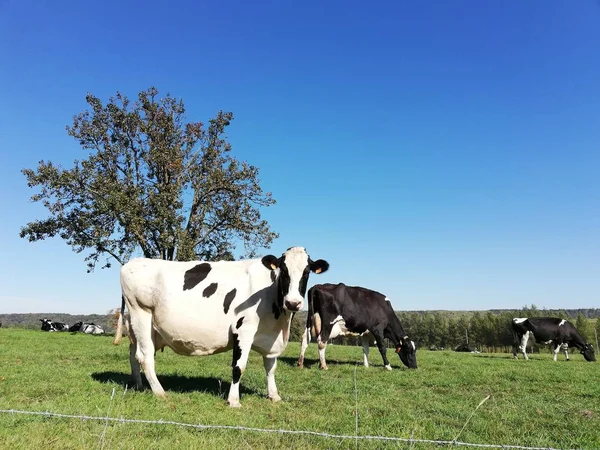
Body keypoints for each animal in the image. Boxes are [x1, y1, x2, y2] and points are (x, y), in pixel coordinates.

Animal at [120, 246, 330, 408]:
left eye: (306, 272)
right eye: (284, 271)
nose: (293, 303)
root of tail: (132, 263)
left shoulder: (271, 337)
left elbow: (271, 368)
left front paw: (274, 395)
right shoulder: (243, 330)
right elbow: (239, 367)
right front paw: (234, 400)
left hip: (140, 327)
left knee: (133, 354)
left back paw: (139, 385)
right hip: (141, 314)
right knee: (145, 357)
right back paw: (160, 392)